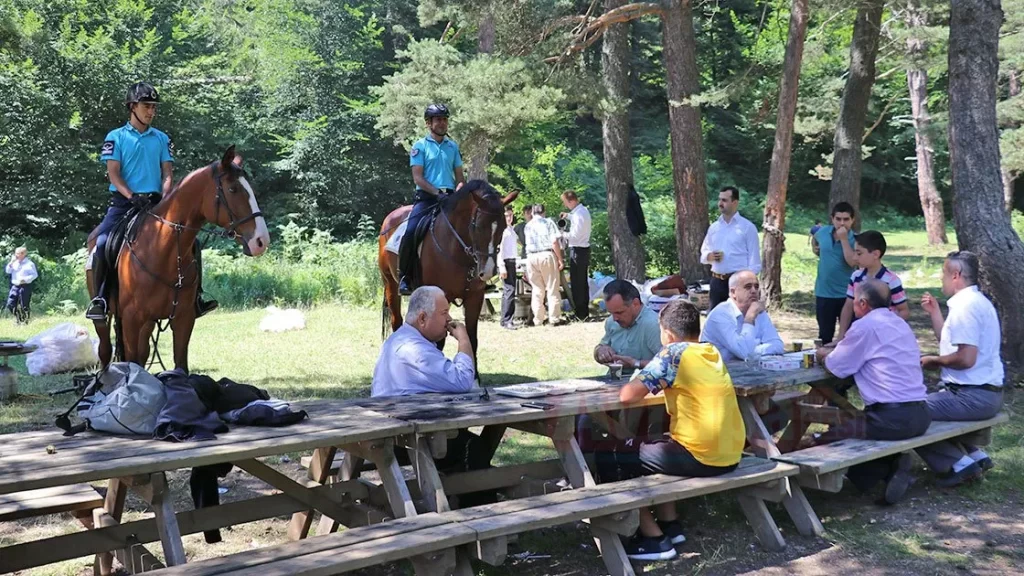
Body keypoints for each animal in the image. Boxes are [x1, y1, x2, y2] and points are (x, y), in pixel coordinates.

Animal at [87, 143, 272, 366]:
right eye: (232, 189)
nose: (261, 241)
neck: (162, 251)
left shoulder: (183, 319)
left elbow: (180, 363)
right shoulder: (131, 319)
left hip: (148, 323)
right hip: (107, 319)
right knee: (105, 350)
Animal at [378, 181, 516, 364]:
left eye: (503, 227)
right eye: (478, 226)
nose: (487, 271)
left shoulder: (475, 297)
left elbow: (471, 340)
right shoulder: (443, 295)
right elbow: (439, 341)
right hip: (390, 285)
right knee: (397, 322)